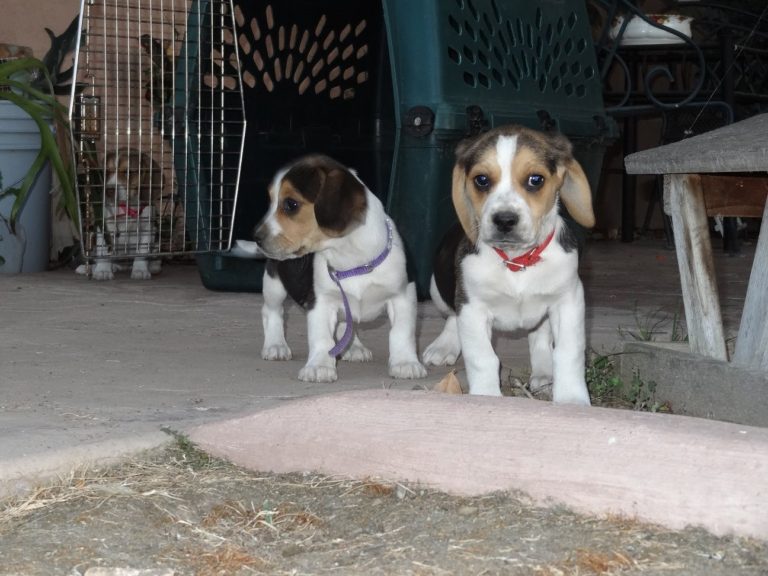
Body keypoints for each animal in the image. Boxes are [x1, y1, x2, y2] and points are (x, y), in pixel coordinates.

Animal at [94, 147, 164, 280]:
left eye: (128, 172)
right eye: (107, 172)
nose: (109, 191)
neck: (128, 207)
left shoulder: (148, 229)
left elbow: (142, 251)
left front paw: (140, 269)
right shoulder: (105, 227)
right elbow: (104, 250)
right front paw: (103, 270)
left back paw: (153, 266)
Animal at [255, 155, 428, 384]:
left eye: (291, 204)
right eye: (270, 202)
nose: (256, 237)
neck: (351, 260)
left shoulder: (403, 296)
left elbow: (402, 333)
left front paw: (405, 363)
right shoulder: (321, 301)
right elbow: (322, 338)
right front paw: (319, 366)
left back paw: (354, 347)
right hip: (274, 283)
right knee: (272, 311)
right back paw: (275, 345)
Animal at [426, 126, 592, 404]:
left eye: (535, 180)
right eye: (481, 180)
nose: (504, 220)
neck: (516, 261)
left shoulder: (569, 301)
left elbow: (569, 353)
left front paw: (571, 399)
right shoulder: (472, 308)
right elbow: (483, 358)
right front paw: (486, 396)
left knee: (540, 336)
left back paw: (544, 373)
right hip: (436, 288)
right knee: (452, 316)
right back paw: (443, 346)